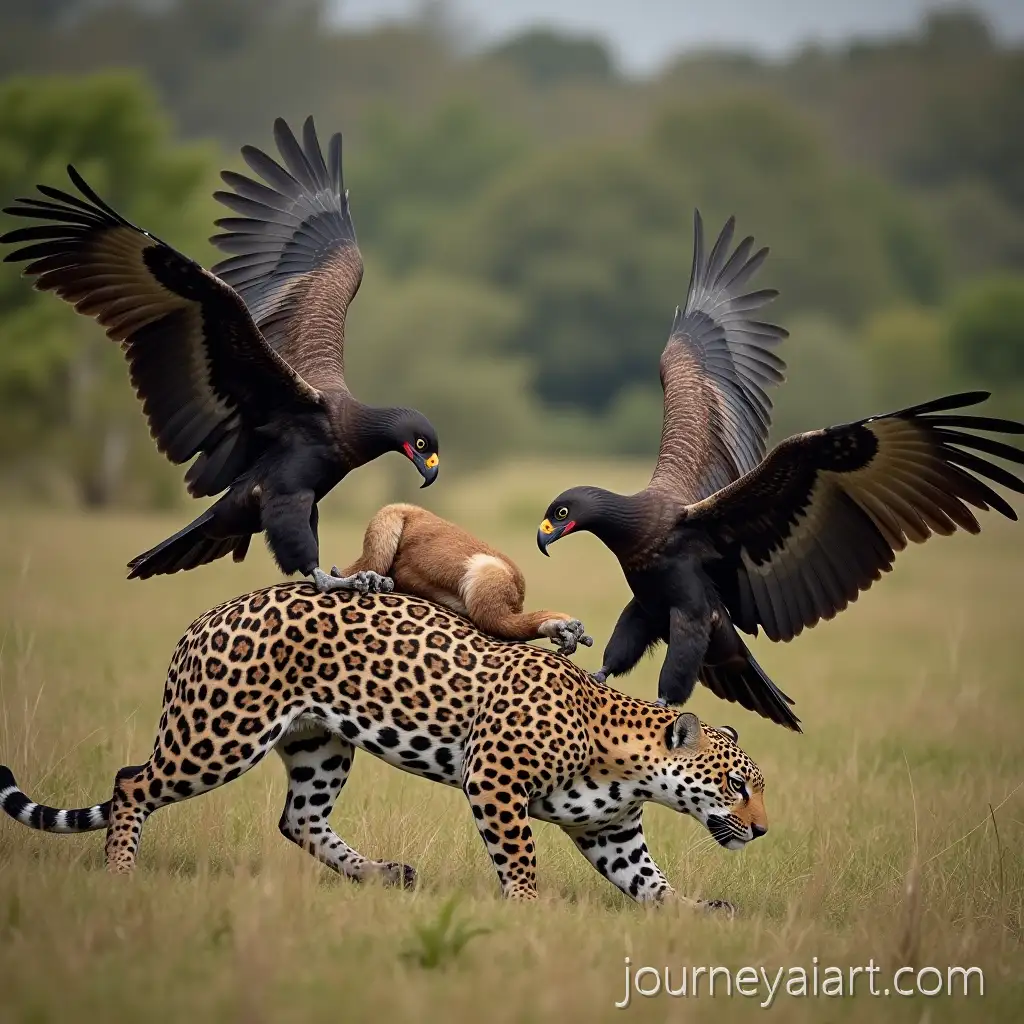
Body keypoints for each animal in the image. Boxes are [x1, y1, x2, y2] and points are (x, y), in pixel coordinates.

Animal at [0, 583, 768, 908]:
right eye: (736, 787)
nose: (762, 831)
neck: (629, 764)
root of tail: (204, 619)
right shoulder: (494, 781)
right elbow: (520, 858)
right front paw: (527, 908)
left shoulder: (611, 830)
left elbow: (647, 880)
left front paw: (695, 912)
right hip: (220, 734)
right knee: (131, 782)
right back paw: (121, 874)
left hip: (319, 744)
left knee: (298, 819)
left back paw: (381, 875)